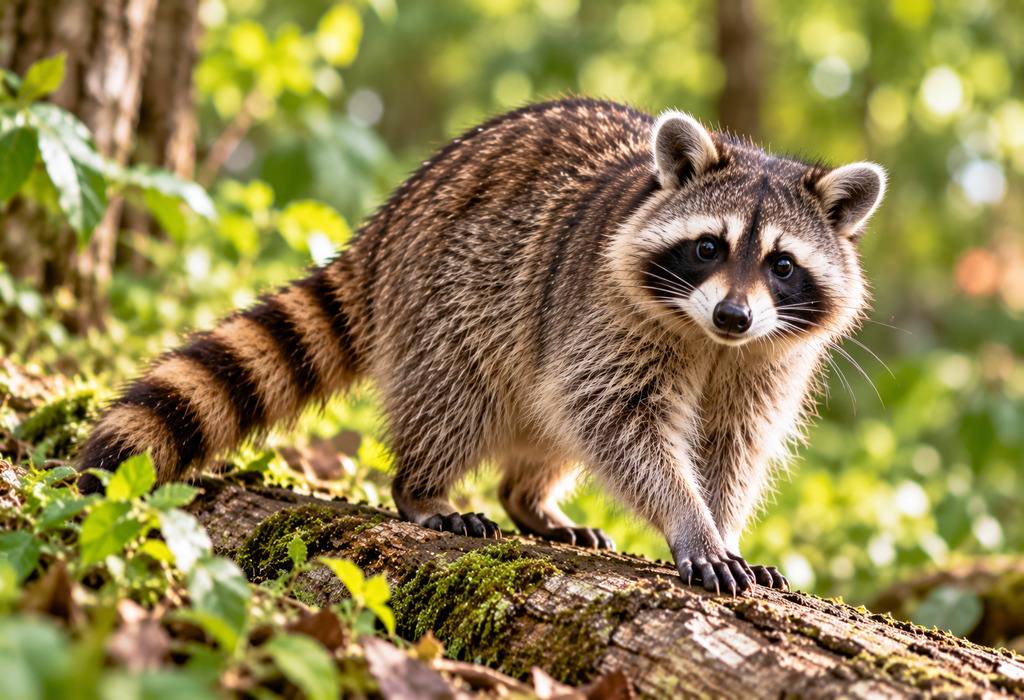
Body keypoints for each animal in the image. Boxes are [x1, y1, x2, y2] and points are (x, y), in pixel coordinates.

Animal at [78, 98, 885, 595]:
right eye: (709, 246)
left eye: (782, 265)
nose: (733, 315)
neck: (707, 340)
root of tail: (387, 221)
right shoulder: (607, 311)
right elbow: (621, 419)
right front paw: (691, 521)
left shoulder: (768, 358)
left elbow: (731, 442)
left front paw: (722, 521)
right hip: (450, 301)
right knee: (458, 398)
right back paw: (424, 487)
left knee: (548, 425)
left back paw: (530, 498)